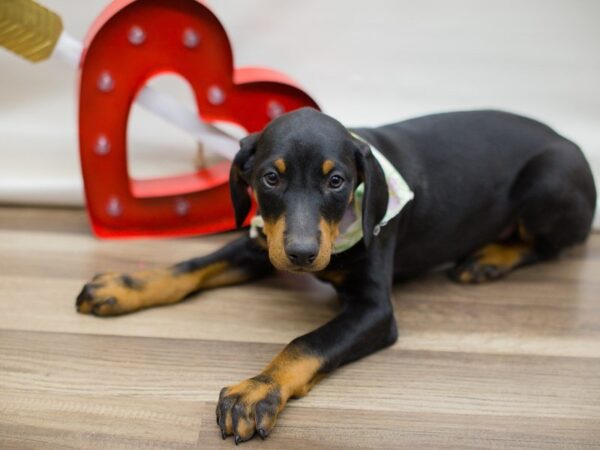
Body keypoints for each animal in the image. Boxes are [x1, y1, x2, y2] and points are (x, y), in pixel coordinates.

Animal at [77, 108, 596, 442]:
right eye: (270, 178)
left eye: (336, 181)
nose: (303, 255)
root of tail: (572, 143)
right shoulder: (264, 240)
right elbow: (194, 266)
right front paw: (125, 286)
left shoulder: (374, 310)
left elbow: (307, 342)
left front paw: (258, 390)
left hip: (549, 181)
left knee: (550, 246)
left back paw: (489, 258)